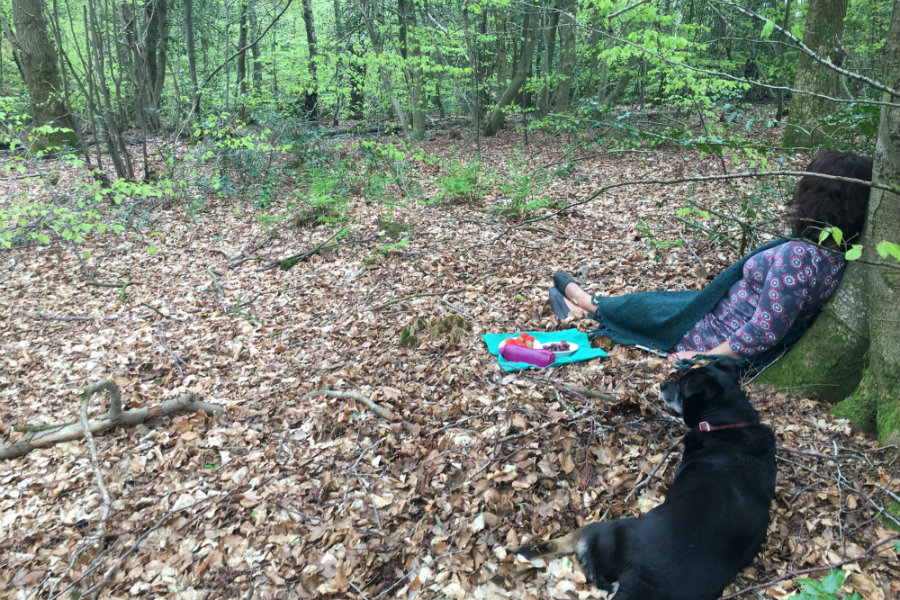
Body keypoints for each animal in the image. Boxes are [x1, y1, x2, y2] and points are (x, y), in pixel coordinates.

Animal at [510, 360, 776, 600]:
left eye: (681, 383)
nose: (662, 383)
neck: (729, 424)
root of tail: (639, 579)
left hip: (603, 528)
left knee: (560, 542)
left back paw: (524, 550)